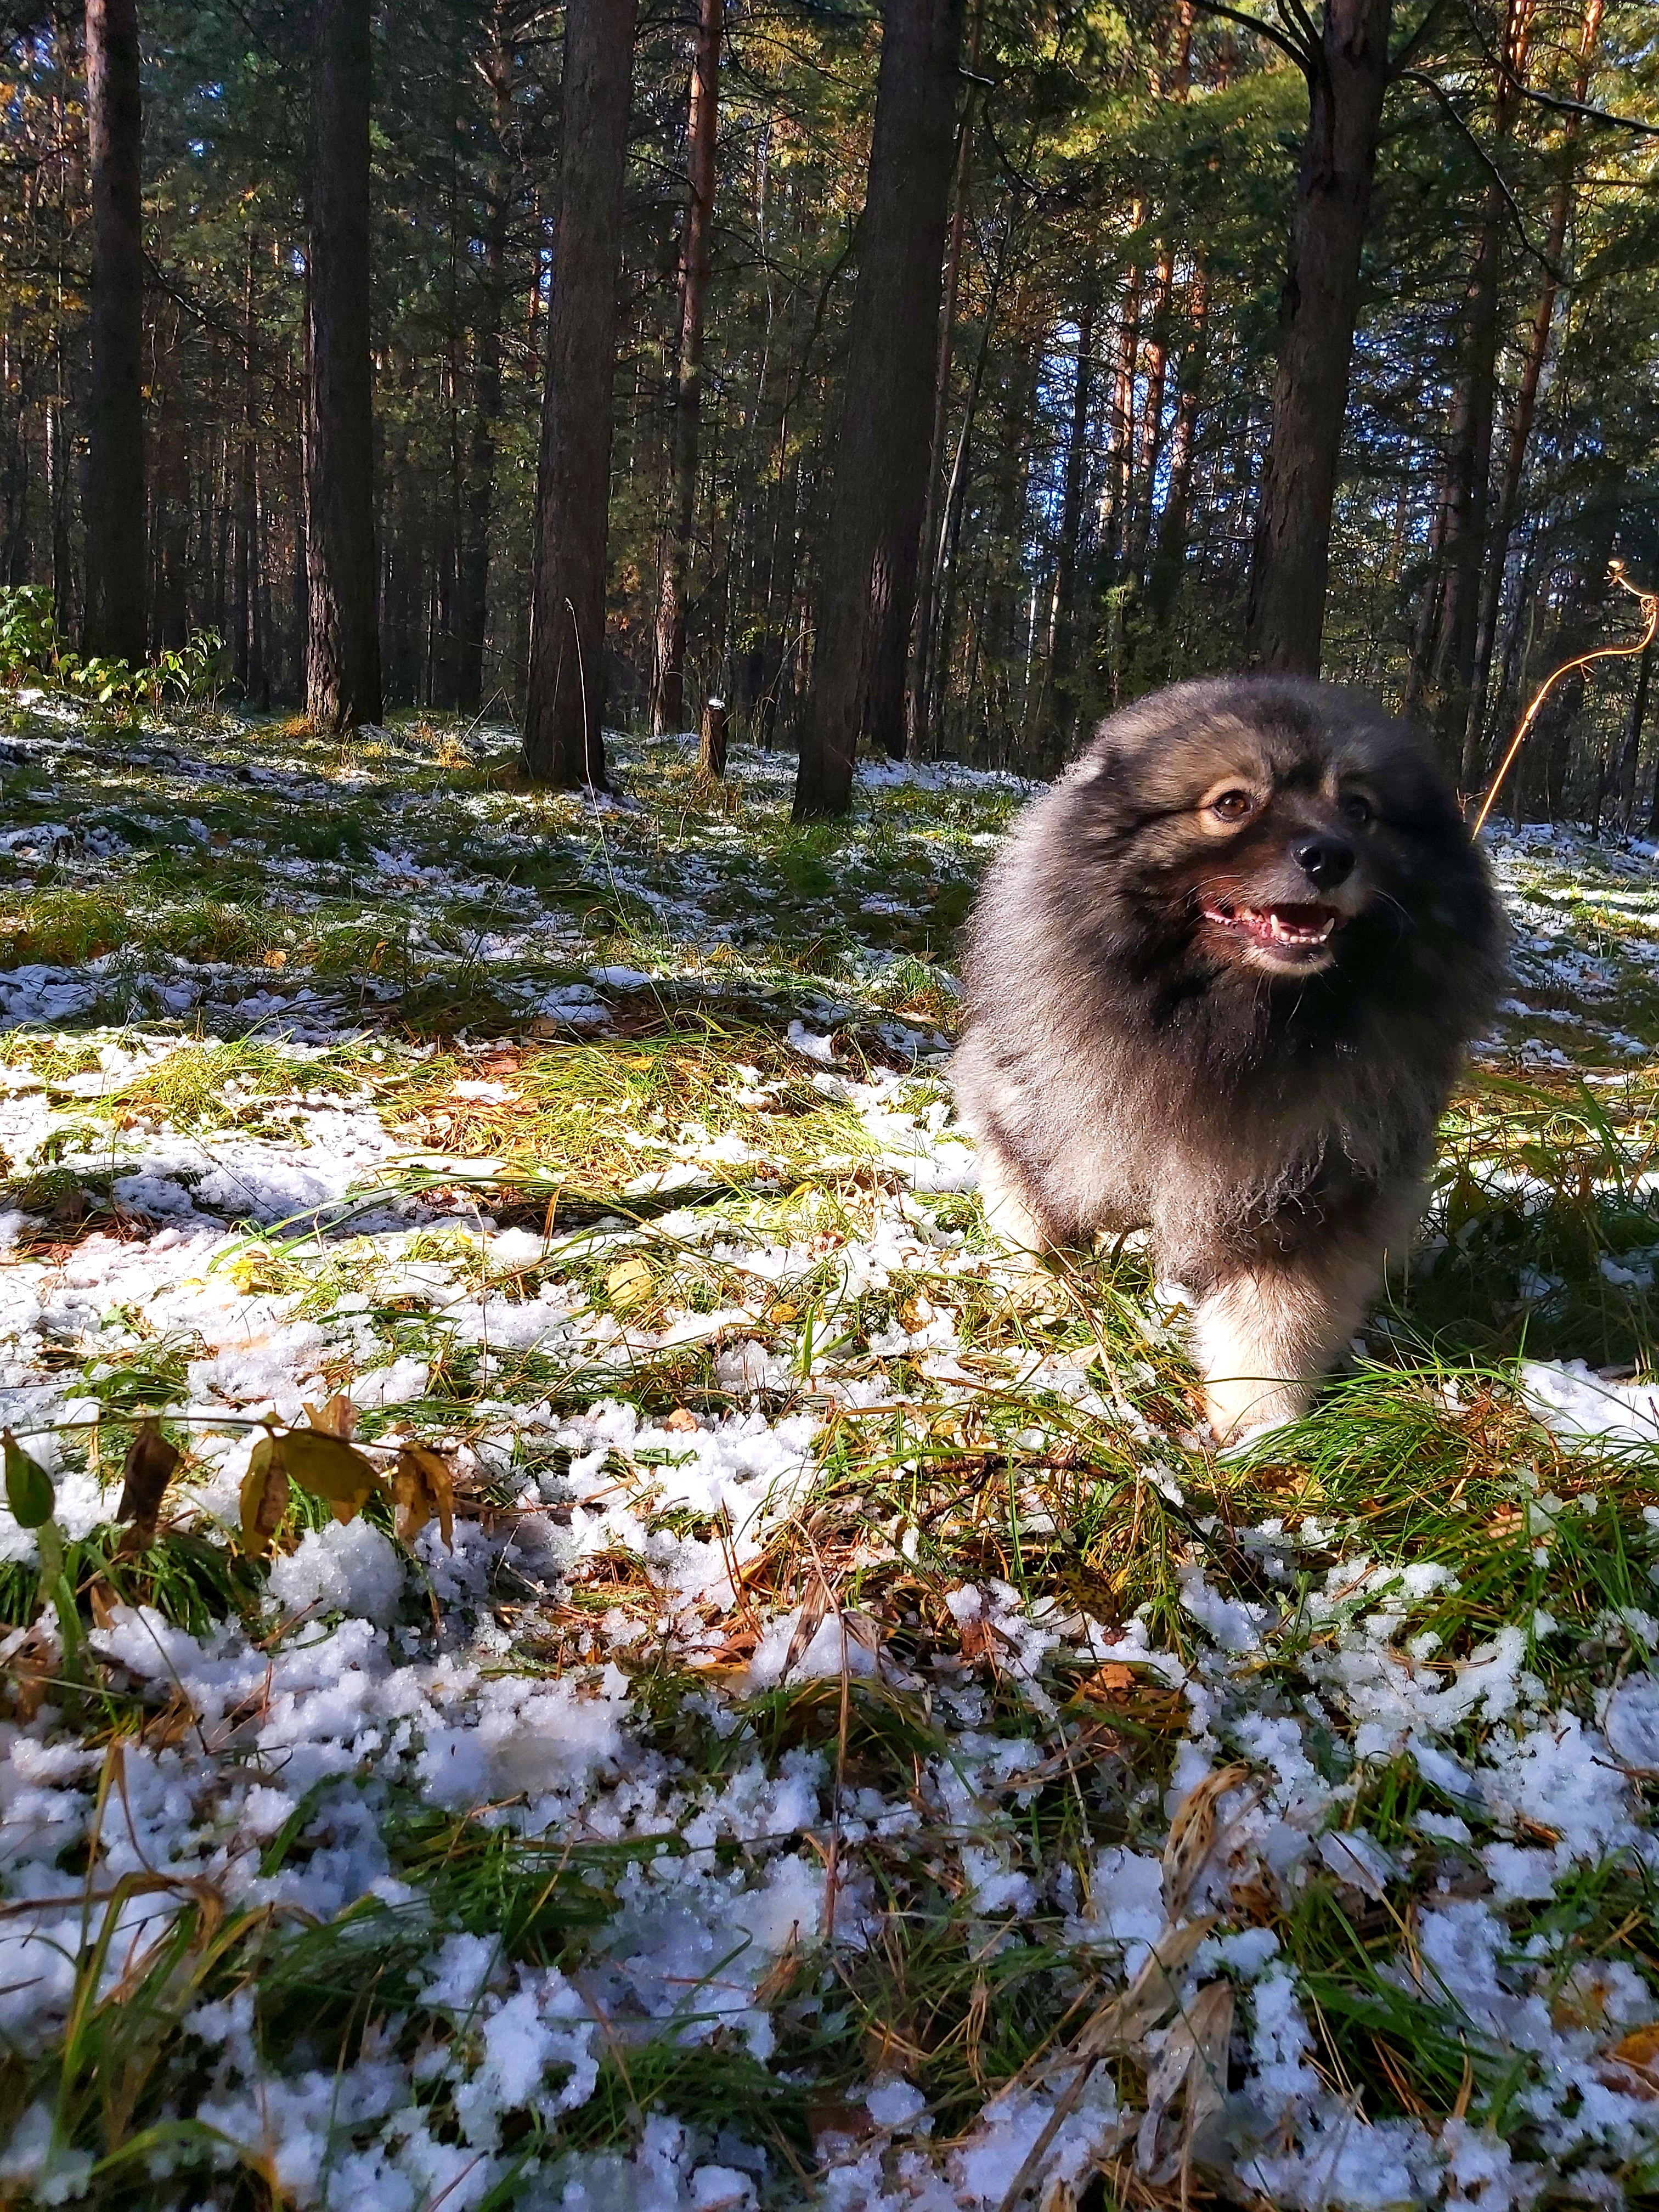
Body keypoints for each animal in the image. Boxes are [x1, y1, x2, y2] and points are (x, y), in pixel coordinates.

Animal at [955, 672, 1513, 1433]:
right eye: (1231, 804)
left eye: (1359, 810)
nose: (1330, 856)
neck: (1229, 1019)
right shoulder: (1028, 1110)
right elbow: (1035, 1222)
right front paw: (1041, 1300)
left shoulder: (1310, 1180)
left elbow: (1277, 1321)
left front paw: (1256, 1424)